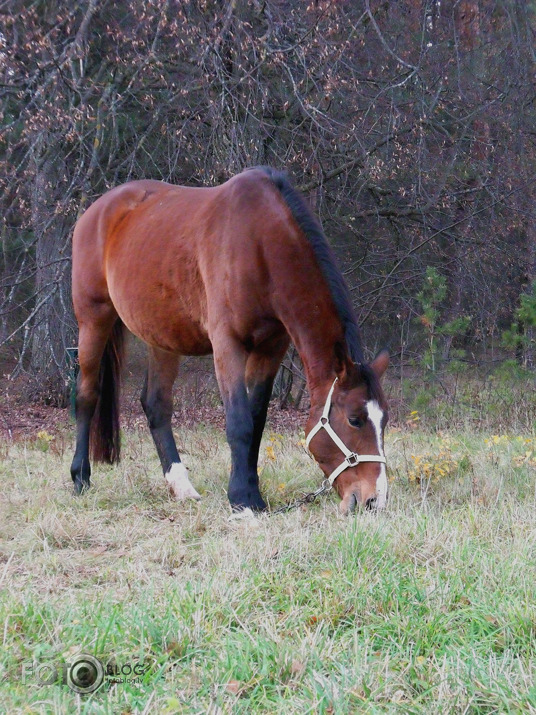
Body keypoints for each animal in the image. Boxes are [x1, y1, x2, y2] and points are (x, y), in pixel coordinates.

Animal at [71, 168, 390, 516]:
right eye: (355, 419)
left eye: (384, 420)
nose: (373, 499)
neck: (260, 244)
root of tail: (98, 209)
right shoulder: (228, 346)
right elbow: (239, 422)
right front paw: (241, 499)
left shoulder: (270, 348)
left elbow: (256, 420)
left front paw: (254, 494)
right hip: (93, 320)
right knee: (87, 394)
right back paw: (80, 478)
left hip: (162, 337)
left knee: (156, 405)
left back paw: (182, 487)